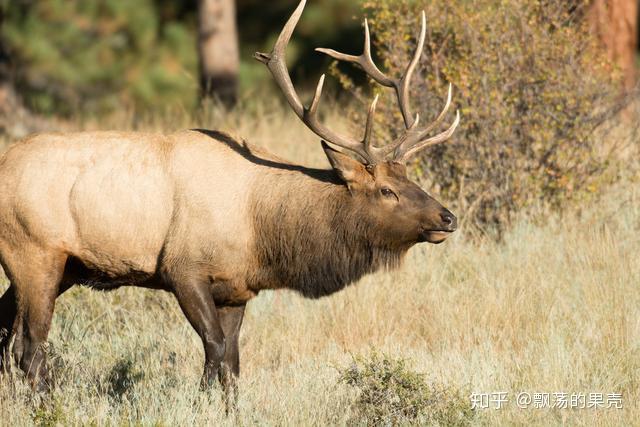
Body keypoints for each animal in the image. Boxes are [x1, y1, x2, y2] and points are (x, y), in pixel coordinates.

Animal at [0, 0, 460, 396]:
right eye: (387, 190)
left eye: (409, 177)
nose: (448, 217)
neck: (263, 230)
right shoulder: (182, 269)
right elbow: (215, 351)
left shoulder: (237, 289)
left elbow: (233, 365)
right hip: (35, 252)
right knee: (29, 346)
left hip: (63, 268)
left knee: (7, 335)